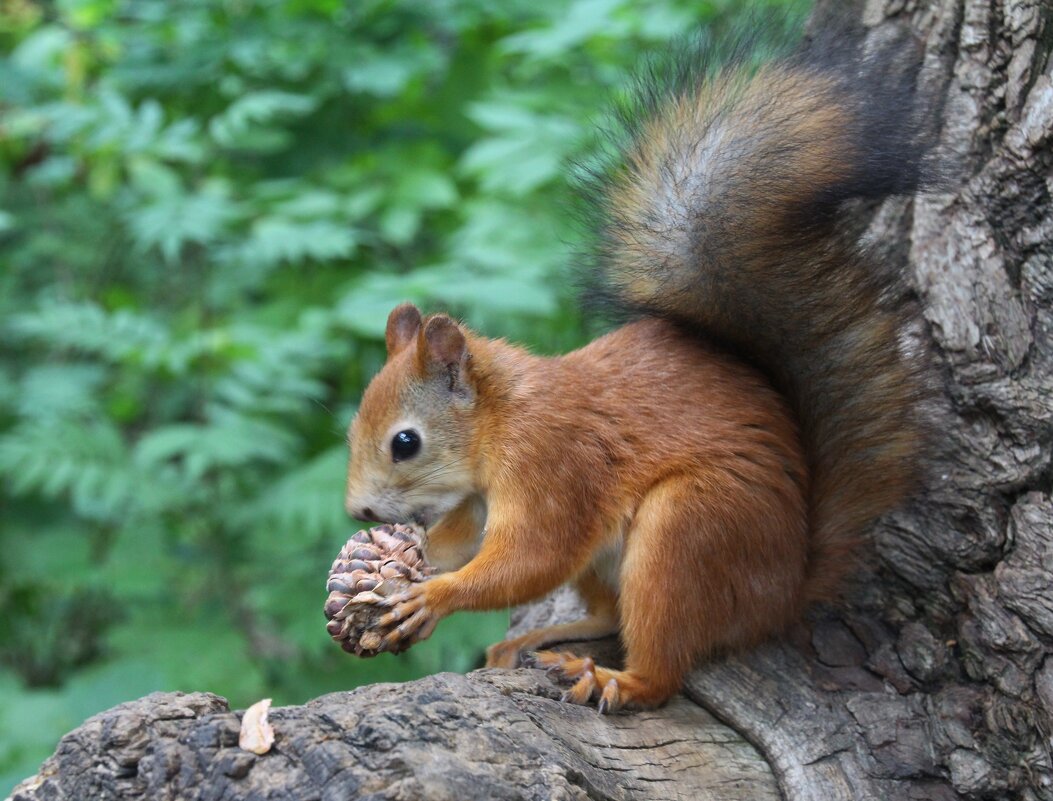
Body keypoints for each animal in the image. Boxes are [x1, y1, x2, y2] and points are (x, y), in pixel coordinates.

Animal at [341, 38, 926, 711]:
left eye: (405, 443)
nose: (357, 512)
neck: (500, 419)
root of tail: (782, 595)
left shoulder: (554, 463)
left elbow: (533, 557)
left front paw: (432, 595)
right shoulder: (474, 498)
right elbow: (464, 547)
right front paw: (393, 565)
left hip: (691, 528)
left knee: (660, 664)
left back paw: (616, 679)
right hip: (616, 562)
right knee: (609, 615)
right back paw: (541, 639)